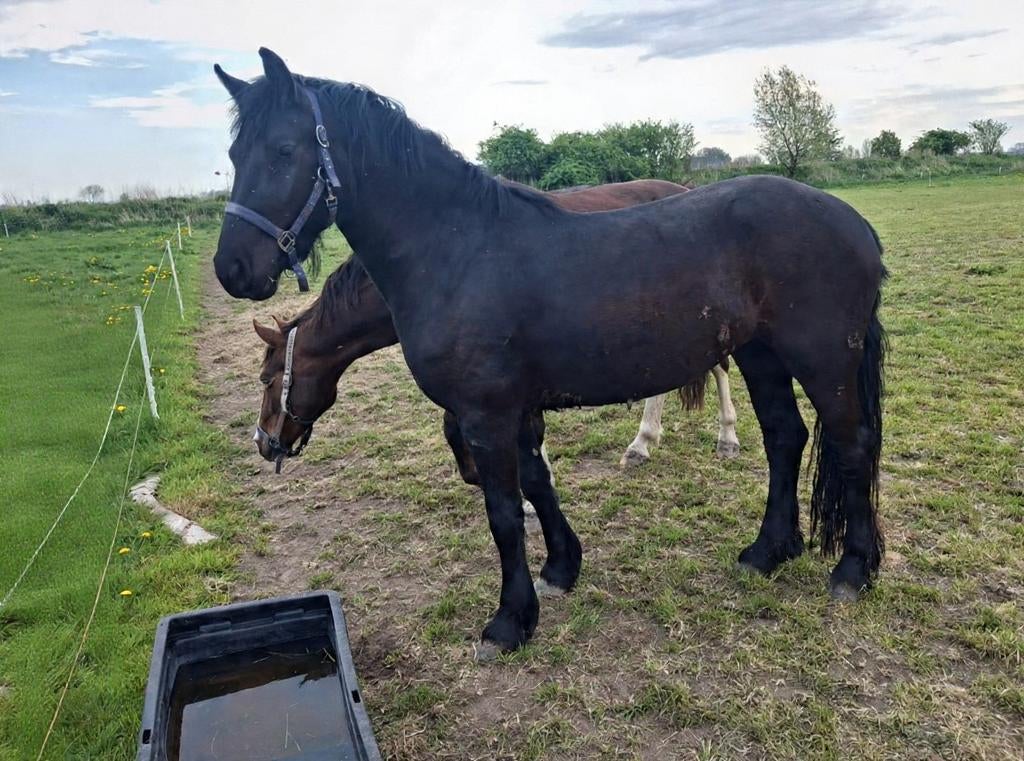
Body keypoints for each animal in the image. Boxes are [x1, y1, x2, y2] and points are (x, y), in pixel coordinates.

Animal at [213, 49, 888, 656]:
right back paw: (767, 552)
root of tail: (852, 220)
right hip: (761, 356)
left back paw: (853, 569)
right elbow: (537, 482)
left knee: (850, 442)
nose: (233, 268)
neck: (457, 250)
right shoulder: (514, 409)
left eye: (282, 151)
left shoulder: (485, 414)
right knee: (784, 438)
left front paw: (510, 621)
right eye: (233, 156)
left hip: (823, 361)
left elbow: (505, 512)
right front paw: (562, 568)